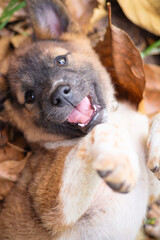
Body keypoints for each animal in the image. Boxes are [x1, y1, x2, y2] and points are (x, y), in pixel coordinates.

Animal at [0, 0, 158, 239]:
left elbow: (155, 118)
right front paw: (118, 161)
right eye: (30, 96)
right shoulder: (53, 206)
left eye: (61, 60)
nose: (60, 94)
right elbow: (96, 134)